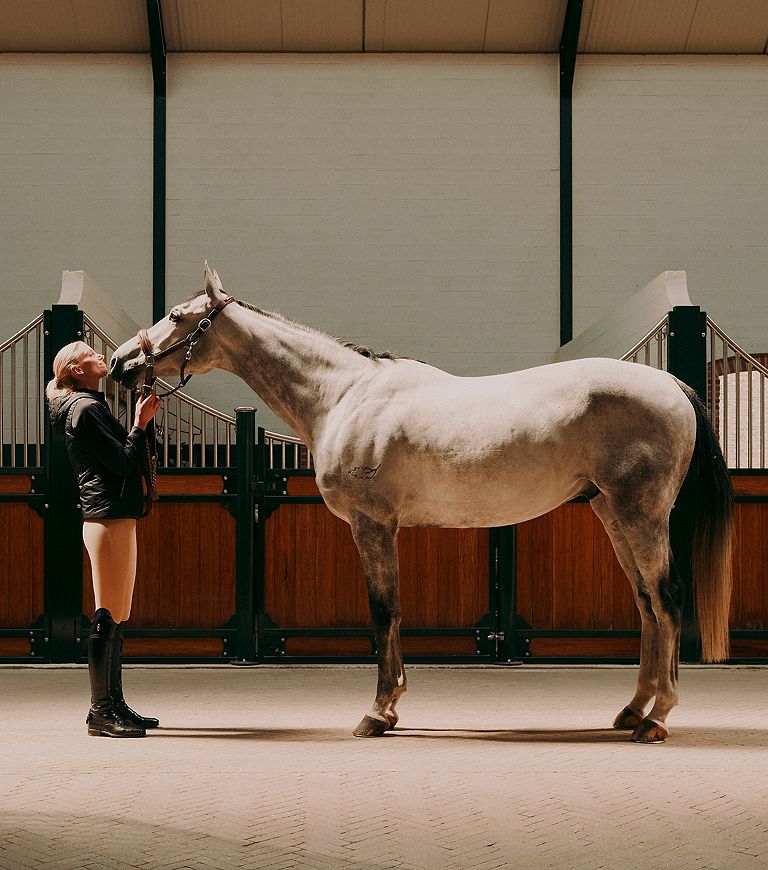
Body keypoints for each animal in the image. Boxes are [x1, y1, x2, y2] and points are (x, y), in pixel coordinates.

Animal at [110, 265, 733, 743]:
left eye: (177, 316)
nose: (120, 363)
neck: (345, 395)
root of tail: (672, 387)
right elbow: (393, 610)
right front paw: (392, 706)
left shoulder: (373, 525)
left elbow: (384, 610)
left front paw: (378, 712)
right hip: (613, 514)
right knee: (647, 603)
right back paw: (633, 709)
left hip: (640, 515)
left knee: (668, 599)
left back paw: (656, 719)